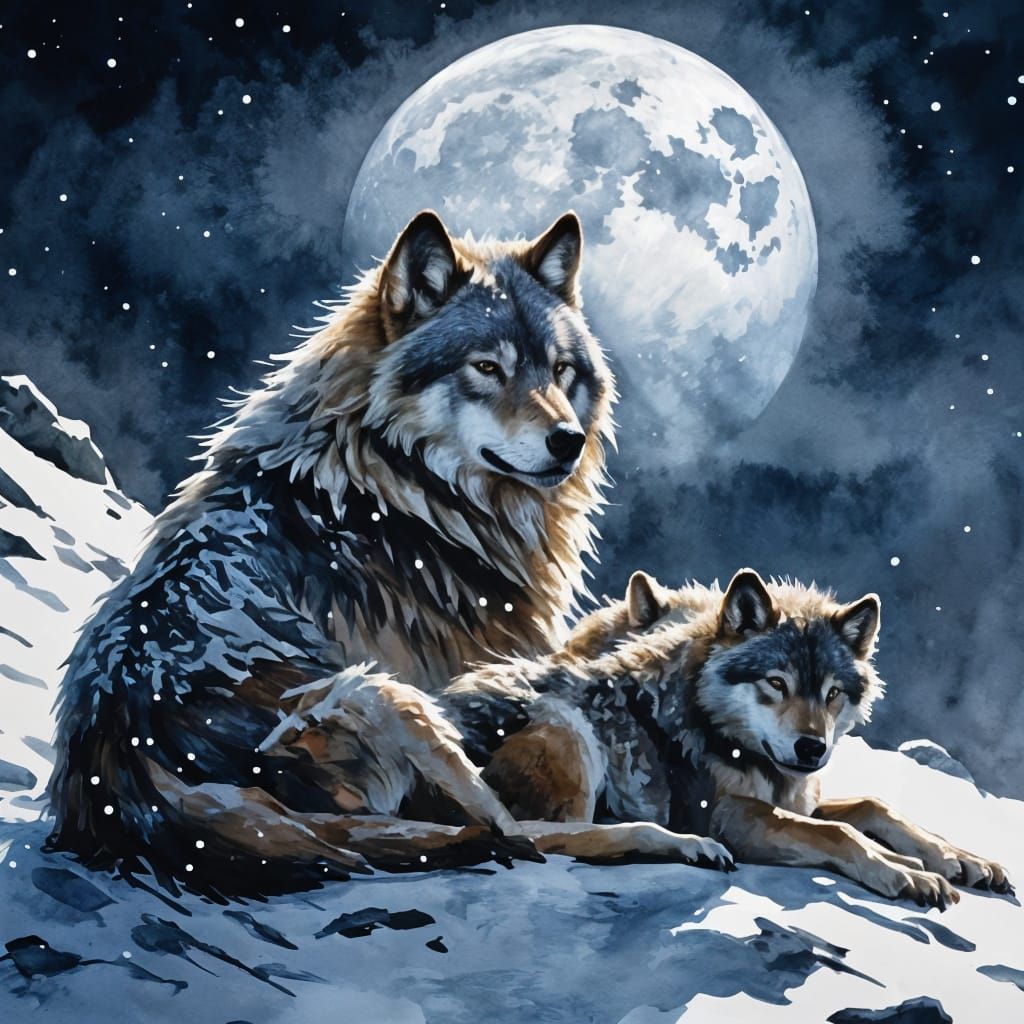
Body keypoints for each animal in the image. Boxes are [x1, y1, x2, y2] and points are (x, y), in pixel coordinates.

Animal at [46, 209, 615, 895]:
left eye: (559, 371)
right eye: (486, 368)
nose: (568, 440)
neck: (395, 485)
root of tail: (125, 782)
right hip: (381, 694)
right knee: (517, 823)